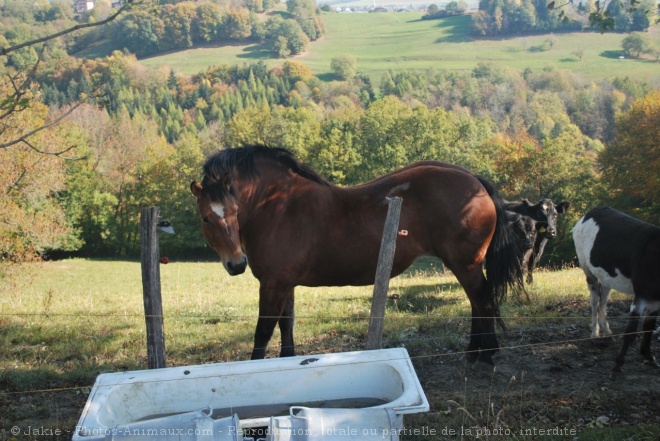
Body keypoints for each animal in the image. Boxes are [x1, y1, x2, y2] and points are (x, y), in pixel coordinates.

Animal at [191, 146, 520, 362]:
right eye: (206, 217)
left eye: (234, 211)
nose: (236, 264)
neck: (279, 205)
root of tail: (474, 180)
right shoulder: (284, 285)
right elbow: (287, 326)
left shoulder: (272, 286)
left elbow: (262, 333)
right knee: (478, 303)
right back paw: (475, 352)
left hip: (466, 265)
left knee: (482, 301)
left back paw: (485, 355)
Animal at [572, 206, 660, 374]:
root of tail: (591, 211)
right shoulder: (640, 296)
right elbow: (631, 330)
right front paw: (618, 364)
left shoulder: (655, 300)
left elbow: (648, 328)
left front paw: (648, 357)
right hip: (587, 269)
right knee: (594, 301)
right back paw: (595, 333)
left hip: (607, 276)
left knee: (603, 301)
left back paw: (606, 331)